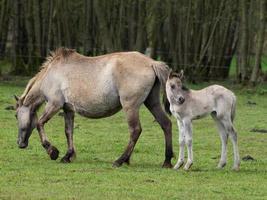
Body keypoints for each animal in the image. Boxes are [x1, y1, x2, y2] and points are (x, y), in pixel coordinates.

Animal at [14, 48, 174, 167]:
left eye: (16, 116)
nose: (20, 143)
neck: (51, 75)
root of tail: (152, 62)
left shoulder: (54, 104)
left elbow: (39, 123)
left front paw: (52, 151)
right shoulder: (68, 109)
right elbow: (68, 132)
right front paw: (67, 155)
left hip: (130, 106)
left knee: (135, 130)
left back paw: (120, 160)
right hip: (152, 103)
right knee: (166, 124)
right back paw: (166, 161)